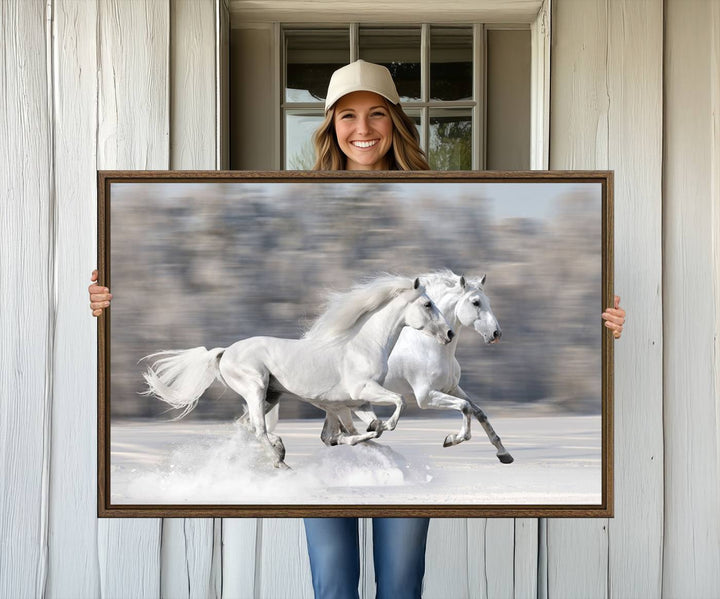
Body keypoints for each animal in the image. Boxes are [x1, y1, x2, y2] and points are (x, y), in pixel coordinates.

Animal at [143, 276, 452, 468]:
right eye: (427, 304)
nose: (449, 333)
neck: (363, 345)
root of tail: (224, 352)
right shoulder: (363, 392)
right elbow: (396, 406)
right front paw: (383, 428)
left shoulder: (357, 403)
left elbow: (358, 431)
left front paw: (371, 434)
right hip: (255, 389)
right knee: (257, 428)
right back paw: (280, 461)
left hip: (272, 395)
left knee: (247, 426)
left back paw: (279, 449)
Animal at [320, 270, 512, 464]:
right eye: (476, 302)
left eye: (488, 301)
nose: (496, 333)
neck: (430, 346)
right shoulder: (425, 396)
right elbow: (465, 407)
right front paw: (451, 439)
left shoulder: (451, 388)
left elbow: (478, 412)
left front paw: (503, 453)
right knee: (340, 434)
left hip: (337, 406)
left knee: (330, 436)